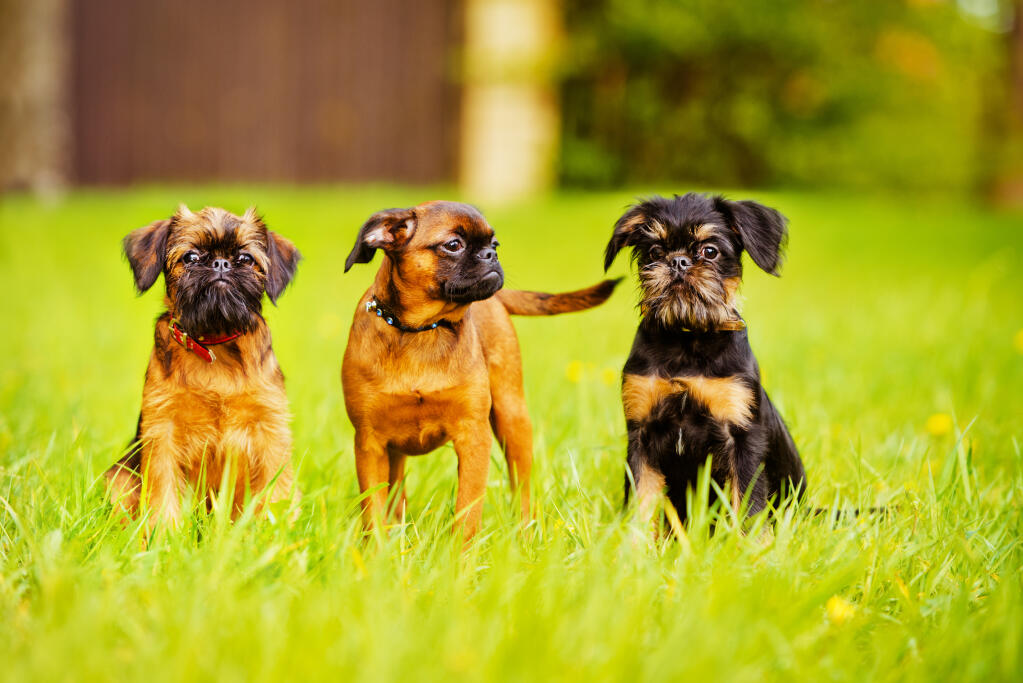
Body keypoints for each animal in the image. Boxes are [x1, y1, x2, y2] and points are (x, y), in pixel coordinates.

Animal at [103, 205, 298, 531]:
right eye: (191, 257)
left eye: (246, 259)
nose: (221, 263)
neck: (214, 342)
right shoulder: (163, 432)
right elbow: (163, 489)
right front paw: (164, 533)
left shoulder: (270, 430)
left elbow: (276, 489)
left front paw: (275, 531)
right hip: (119, 476)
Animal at [339, 200, 617, 539]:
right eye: (453, 245)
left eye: (494, 244)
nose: (491, 255)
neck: (420, 331)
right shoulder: (370, 445)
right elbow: (374, 511)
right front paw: (378, 550)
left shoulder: (473, 437)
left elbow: (467, 510)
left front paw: (462, 552)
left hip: (513, 418)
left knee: (522, 490)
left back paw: (524, 535)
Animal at [597, 194, 806, 527]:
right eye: (655, 252)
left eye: (710, 251)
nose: (678, 261)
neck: (687, 335)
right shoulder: (641, 436)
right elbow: (642, 503)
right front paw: (634, 542)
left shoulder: (742, 437)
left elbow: (748, 507)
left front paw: (752, 542)